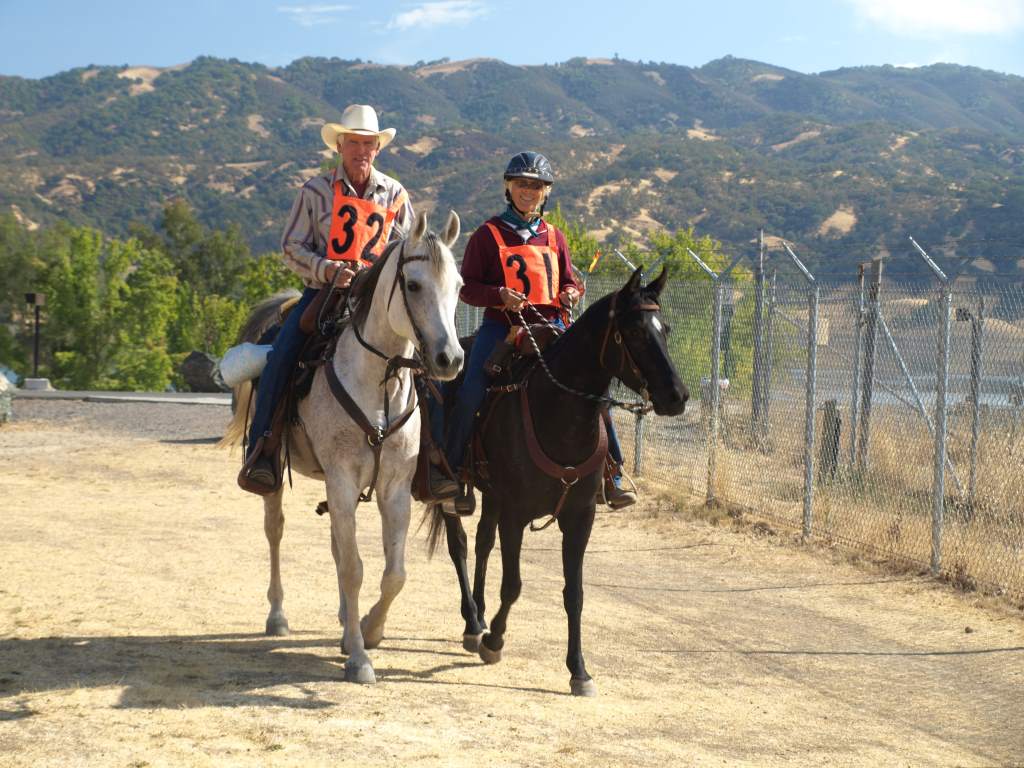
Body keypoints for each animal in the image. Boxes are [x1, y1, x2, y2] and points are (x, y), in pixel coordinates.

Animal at [222, 210, 464, 684]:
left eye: (460, 285)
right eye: (413, 285)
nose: (450, 359)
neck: (377, 380)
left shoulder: (393, 488)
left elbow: (393, 573)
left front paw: (368, 630)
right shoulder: (341, 478)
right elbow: (354, 568)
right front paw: (358, 657)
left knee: (337, 544)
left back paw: (342, 618)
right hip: (278, 473)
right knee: (275, 530)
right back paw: (278, 615)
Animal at [427, 266, 687, 696]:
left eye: (663, 329)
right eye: (634, 332)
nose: (677, 396)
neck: (559, 412)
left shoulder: (580, 517)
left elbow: (574, 593)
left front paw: (578, 670)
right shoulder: (516, 514)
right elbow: (513, 584)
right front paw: (495, 641)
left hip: (493, 496)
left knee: (482, 544)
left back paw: (478, 619)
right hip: (454, 490)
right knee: (460, 544)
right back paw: (473, 622)